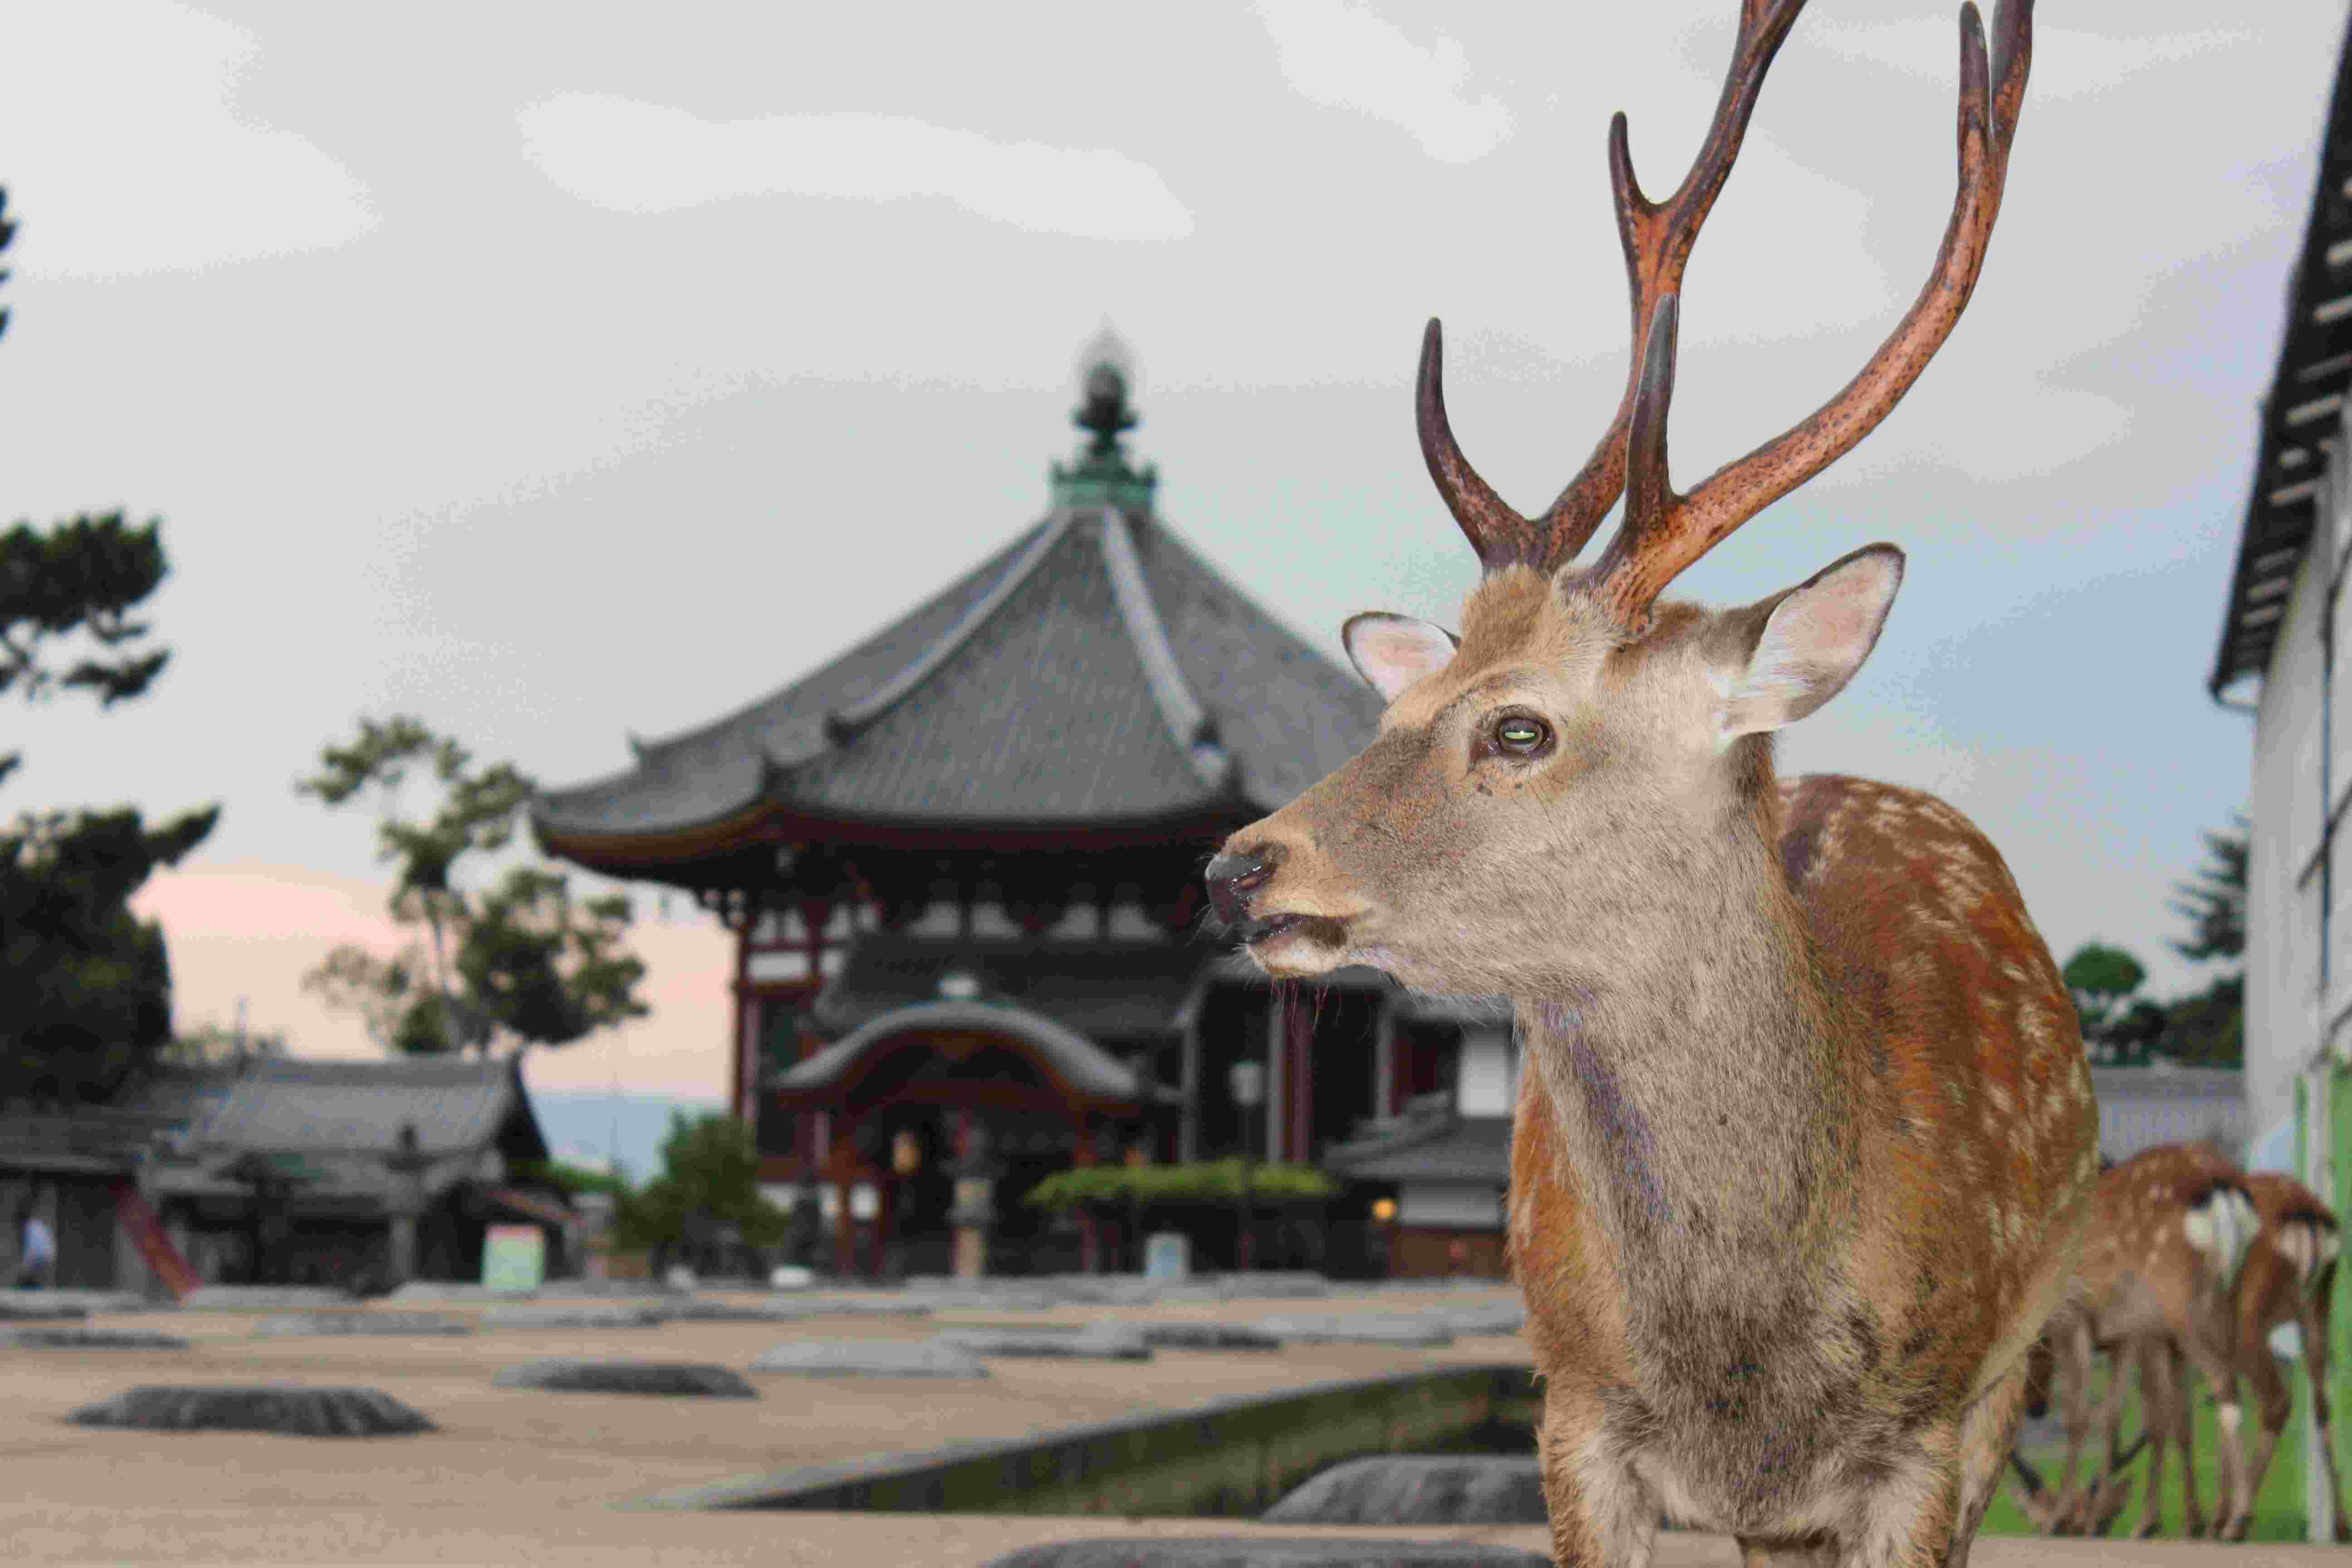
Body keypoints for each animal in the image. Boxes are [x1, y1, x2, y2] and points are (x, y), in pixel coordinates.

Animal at [1201, 2, 2101, 1564]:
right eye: (1403, 701)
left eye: (1518, 730)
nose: (1238, 867)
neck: (1745, 1355)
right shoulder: (1571, 1410)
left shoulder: (1929, 1435)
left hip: (2017, 1362)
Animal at [2007, 1145, 2255, 1539]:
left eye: (2034, 1349)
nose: (2036, 1406)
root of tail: (2223, 1190)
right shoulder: (2122, 1337)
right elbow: (2115, 1418)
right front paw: (2096, 1520)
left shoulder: (2081, 1323)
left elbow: (2081, 1418)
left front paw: (2062, 1518)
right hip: (2228, 1299)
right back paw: (2217, 1518)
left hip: (2180, 1302)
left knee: (2223, 1384)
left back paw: (2235, 1520)